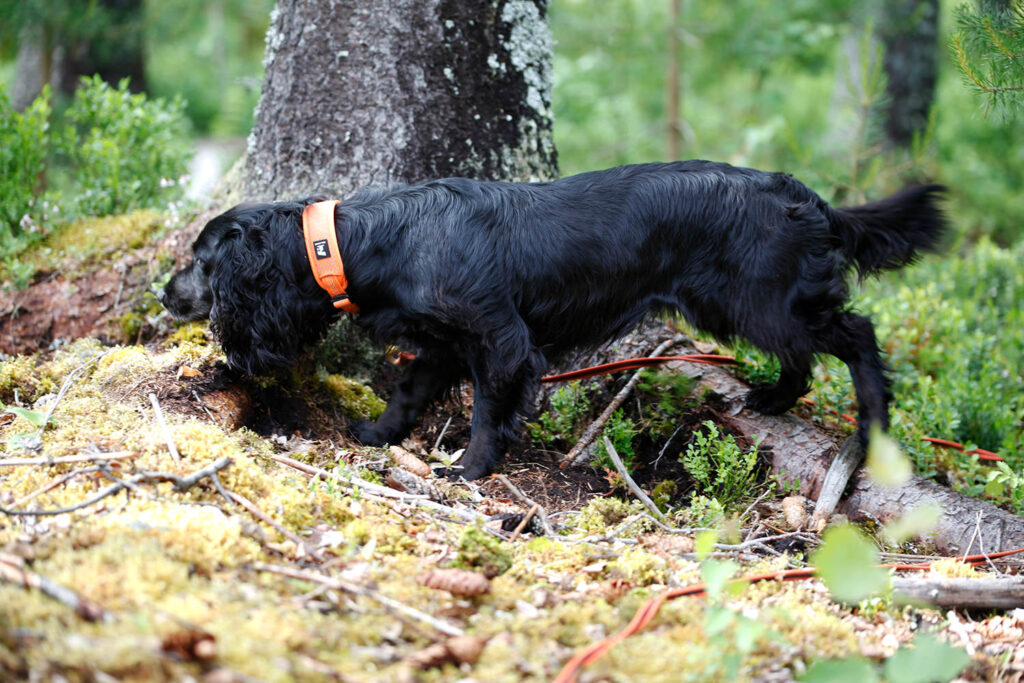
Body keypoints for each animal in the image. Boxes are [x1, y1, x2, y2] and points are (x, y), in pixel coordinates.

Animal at [159, 162, 942, 479]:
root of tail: (804, 195)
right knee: (806, 355)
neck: (355, 241)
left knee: (856, 334)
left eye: (200, 260)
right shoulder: (446, 342)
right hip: (751, 306)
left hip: (757, 300)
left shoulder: (502, 341)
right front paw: (379, 434)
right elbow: (408, 391)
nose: (166, 295)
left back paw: (872, 424)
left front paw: (468, 469)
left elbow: (486, 414)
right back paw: (775, 399)